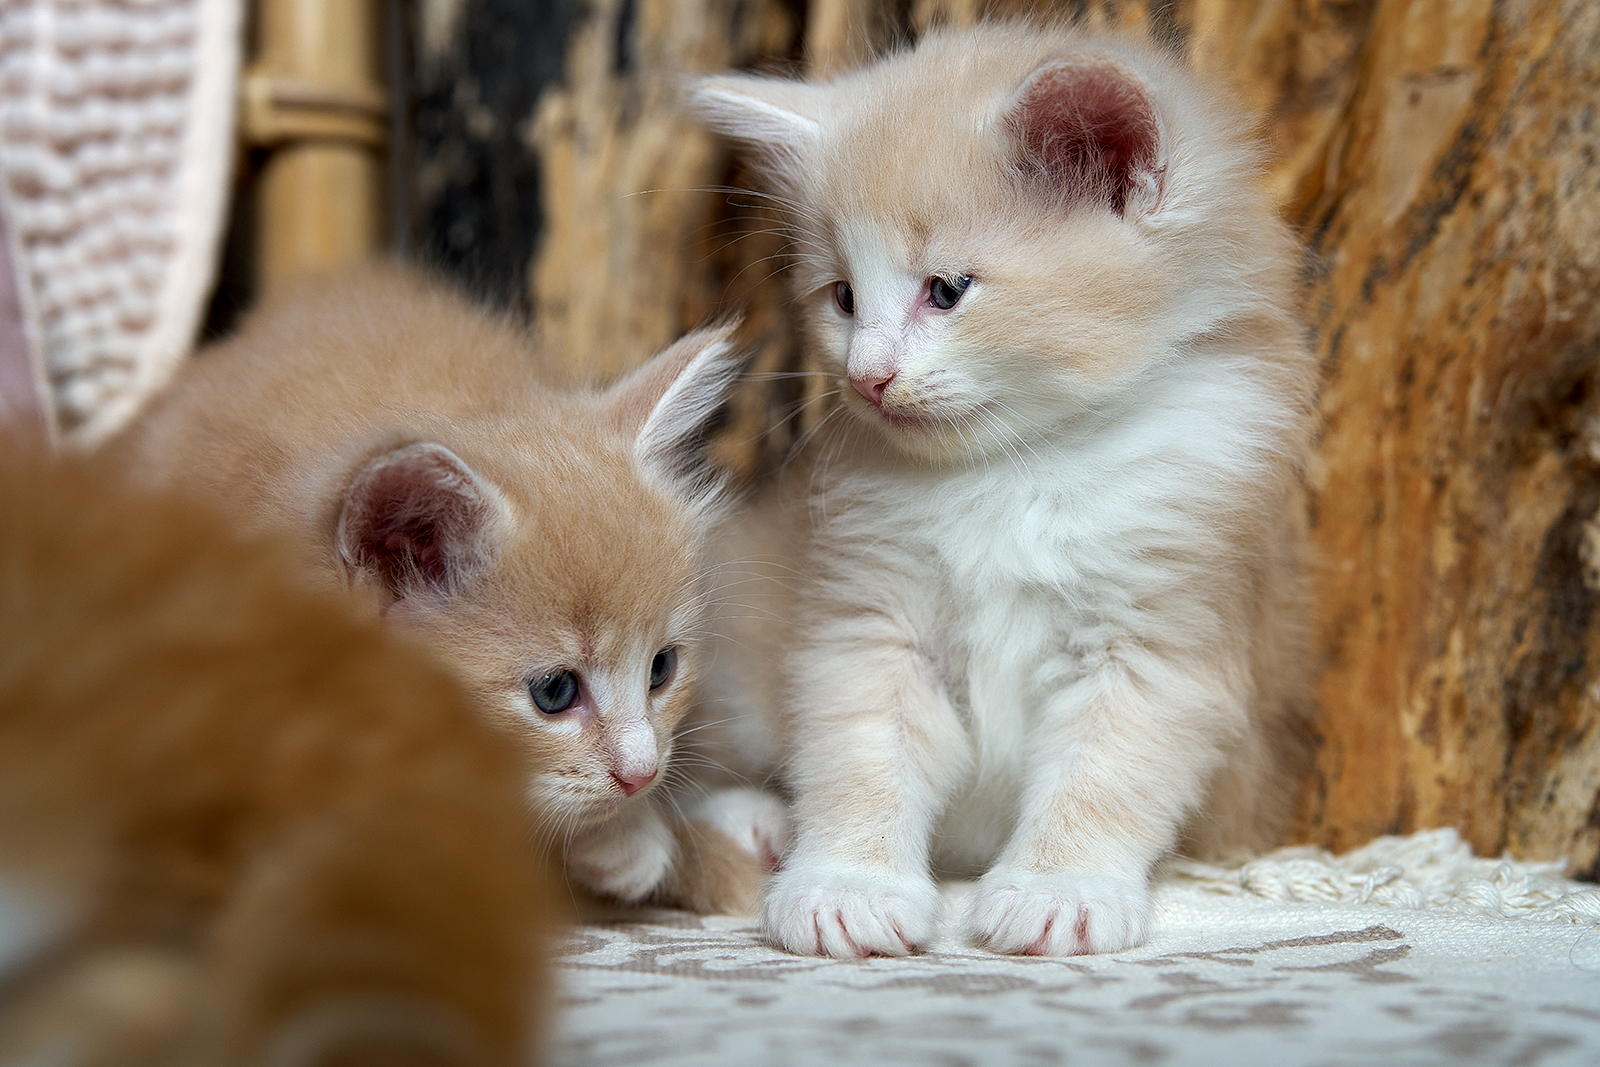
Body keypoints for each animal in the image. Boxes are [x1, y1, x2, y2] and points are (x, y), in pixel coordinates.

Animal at [691, 22, 1317, 957]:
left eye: (947, 290)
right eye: (842, 297)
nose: (866, 378)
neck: (1020, 465)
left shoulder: (1165, 626)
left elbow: (1104, 773)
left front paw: (1062, 888)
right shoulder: (869, 613)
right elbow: (860, 753)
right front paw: (848, 882)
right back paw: (755, 816)